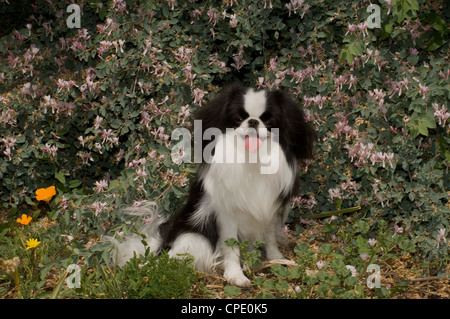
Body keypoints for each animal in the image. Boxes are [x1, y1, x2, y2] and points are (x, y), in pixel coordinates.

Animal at [111, 84, 316, 288]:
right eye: (238, 119)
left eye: (268, 120)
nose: (253, 122)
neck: (251, 159)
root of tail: (162, 243)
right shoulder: (227, 216)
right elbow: (231, 248)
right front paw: (235, 275)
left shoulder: (271, 211)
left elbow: (270, 237)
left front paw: (277, 259)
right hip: (194, 239)